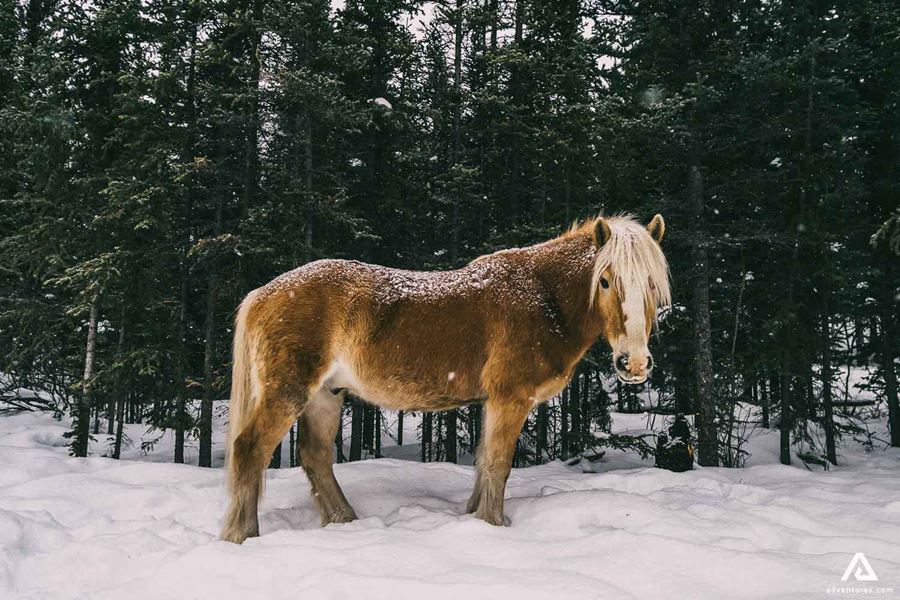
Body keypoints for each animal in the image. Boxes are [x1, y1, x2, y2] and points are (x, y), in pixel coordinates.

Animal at [221, 213, 670, 544]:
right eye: (606, 281)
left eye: (652, 284)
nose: (633, 363)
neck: (543, 297)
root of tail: (262, 293)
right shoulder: (510, 398)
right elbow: (498, 465)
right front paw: (493, 525)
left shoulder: (491, 403)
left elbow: (484, 462)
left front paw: (474, 518)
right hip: (288, 392)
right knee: (249, 450)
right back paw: (242, 536)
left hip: (326, 395)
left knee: (315, 457)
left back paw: (344, 521)